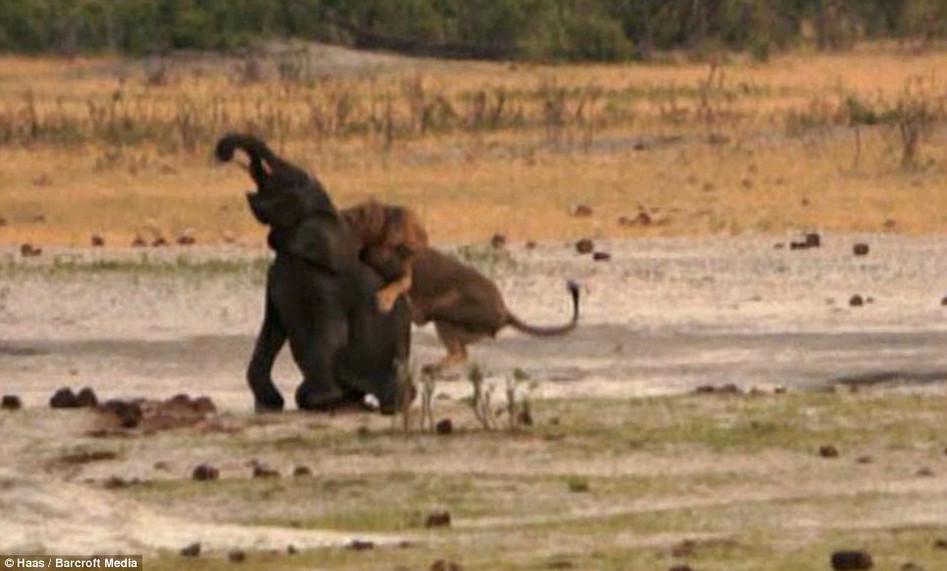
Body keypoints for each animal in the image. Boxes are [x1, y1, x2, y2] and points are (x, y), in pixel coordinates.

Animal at [217, 134, 412, 416]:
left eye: (296, 181)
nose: (224, 153)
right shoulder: (275, 279)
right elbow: (271, 330)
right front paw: (268, 404)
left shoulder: (327, 283)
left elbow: (331, 331)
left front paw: (317, 399)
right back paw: (348, 402)